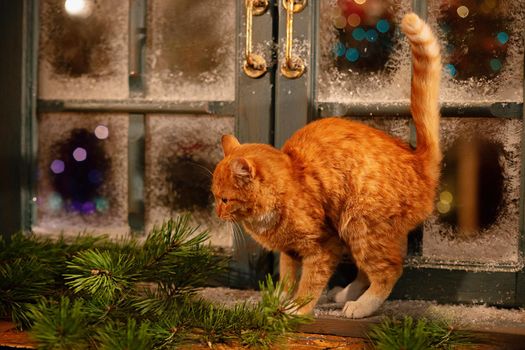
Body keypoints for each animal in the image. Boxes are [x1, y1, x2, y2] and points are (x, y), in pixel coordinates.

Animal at [211, 13, 440, 318]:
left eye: (225, 199)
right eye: (214, 197)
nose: (217, 212)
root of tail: (418, 158)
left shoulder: (322, 247)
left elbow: (309, 284)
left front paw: (297, 309)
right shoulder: (289, 251)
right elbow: (287, 277)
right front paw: (279, 299)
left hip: (359, 227)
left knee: (387, 271)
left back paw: (360, 306)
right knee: (366, 271)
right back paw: (345, 294)